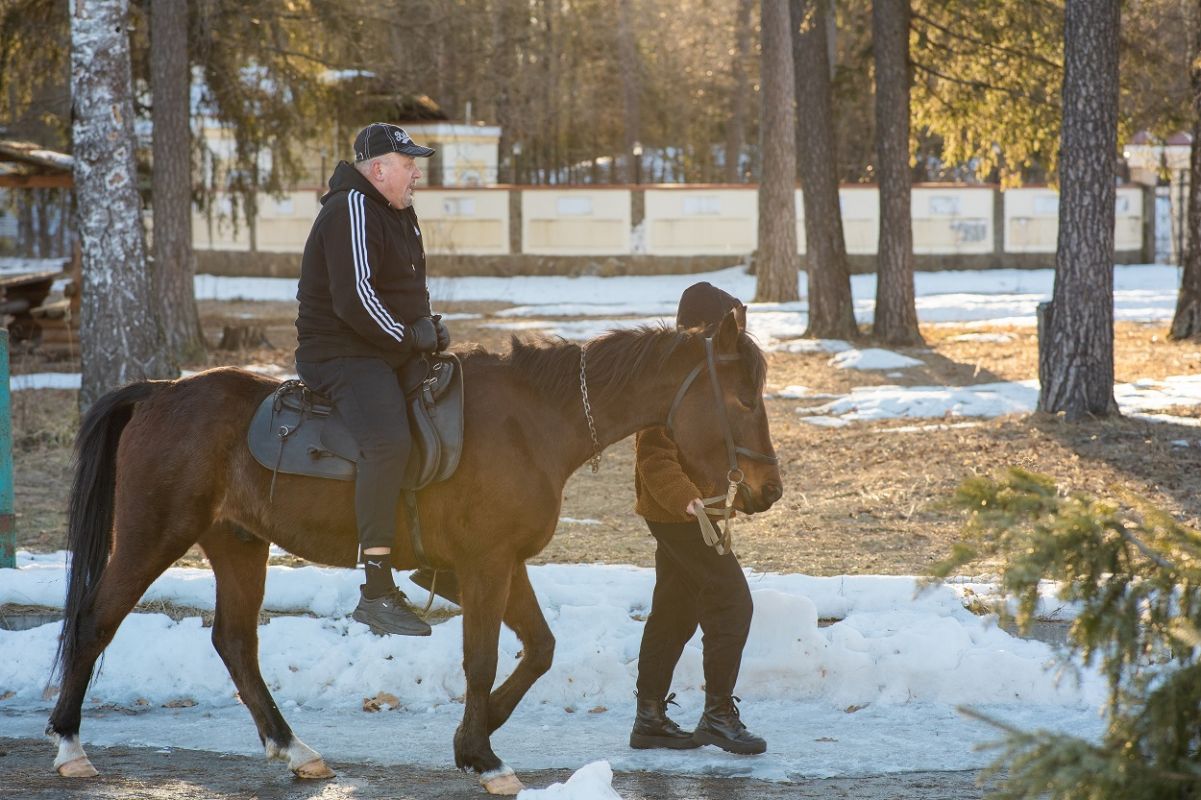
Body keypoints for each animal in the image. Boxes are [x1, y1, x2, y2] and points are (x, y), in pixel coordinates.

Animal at [46, 308, 782, 794]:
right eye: (743, 399)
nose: (767, 490)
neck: (532, 423)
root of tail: (161, 392)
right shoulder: (484, 566)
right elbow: (483, 657)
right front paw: (484, 755)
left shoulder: (495, 565)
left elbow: (539, 649)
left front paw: (474, 737)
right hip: (153, 535)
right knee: (94, 621)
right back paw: (68, 746)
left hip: (237, 544)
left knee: (234, 643)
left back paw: (294, 748)